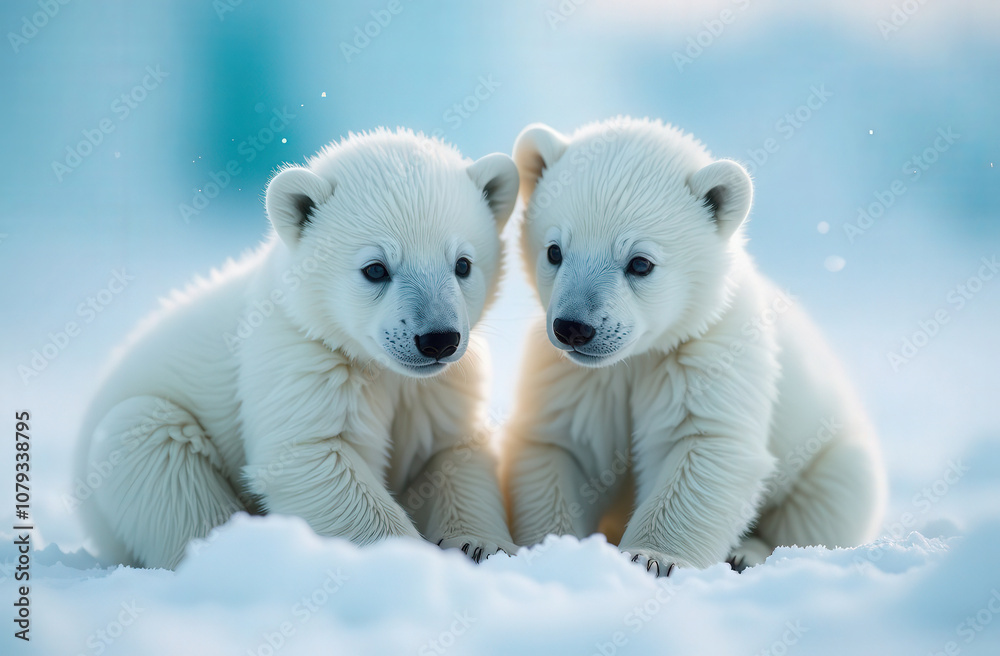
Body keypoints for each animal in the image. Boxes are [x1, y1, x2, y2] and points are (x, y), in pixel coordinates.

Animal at [74, 128, 519, 569]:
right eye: (376, 268)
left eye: (463, 264)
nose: (438, 339)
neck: (379, 368)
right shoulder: (300, 359)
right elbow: (310, 455)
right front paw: (402, 556)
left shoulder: (440, 387)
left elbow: (453, 455)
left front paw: (481, 544)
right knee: (152, 445)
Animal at [501, 117, 887, 575]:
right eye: (555, 251)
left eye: (640, 263)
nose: (574, 328)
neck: (638, 357)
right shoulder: (577, 378)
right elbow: (563, 446)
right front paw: (554, 549)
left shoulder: (707, 352)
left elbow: (706, 444)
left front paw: (651, 557)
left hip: (832, 452)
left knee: (825, 505)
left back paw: (747, 552)